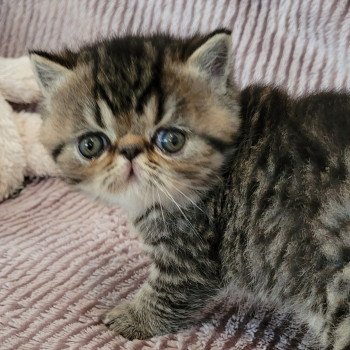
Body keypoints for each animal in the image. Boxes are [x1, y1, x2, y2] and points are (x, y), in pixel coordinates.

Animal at [30, 30, 350, 350]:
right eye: (91, 145)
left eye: (171, 140)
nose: (130, 150)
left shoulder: (190, 254)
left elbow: (169, 293)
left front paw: (132, 318)